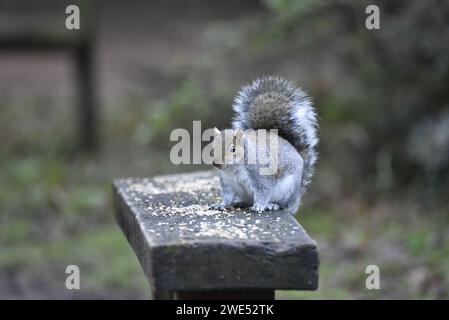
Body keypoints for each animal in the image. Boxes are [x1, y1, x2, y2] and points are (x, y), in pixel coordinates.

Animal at [209, 76, 316, 214]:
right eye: (213, 147)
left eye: (233, 149)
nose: (216, 164)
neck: (233, 169)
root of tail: (296, 200)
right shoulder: (228, 182)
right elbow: (227, 195)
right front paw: (222, 204)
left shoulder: (261, 174)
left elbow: (263, 191)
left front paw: (258, 206)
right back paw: (241, 202)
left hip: (287, 190)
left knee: (284, 205)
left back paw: (272, 205)